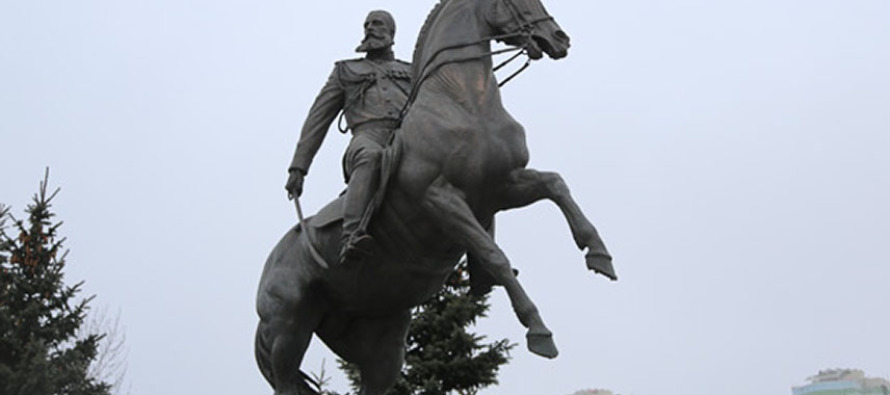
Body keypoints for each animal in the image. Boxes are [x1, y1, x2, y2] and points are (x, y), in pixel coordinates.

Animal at [253, 0, 608, 395]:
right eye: (514, 1)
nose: (558, 38)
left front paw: (598, 253)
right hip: (287, 331)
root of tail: (271, 264)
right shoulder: (441, 199)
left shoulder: (502, 187)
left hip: (381, 345)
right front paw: (539, 330)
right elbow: (495, 256)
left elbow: (556, 185)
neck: (466, 102)